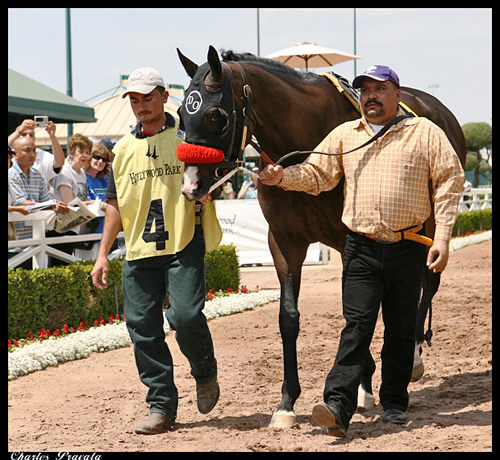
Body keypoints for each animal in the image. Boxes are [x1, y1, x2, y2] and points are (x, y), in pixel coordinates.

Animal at [175, 45, 464, 428]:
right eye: (180, 114)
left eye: (215, 116)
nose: (191, 186)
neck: (307, 142)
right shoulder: (285, 241)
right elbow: (289, 318)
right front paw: (286, 404)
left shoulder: (348, 239)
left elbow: (358, 310)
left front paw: (363, 387)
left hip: (430, 225)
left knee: (427, 282)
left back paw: (413, 357)